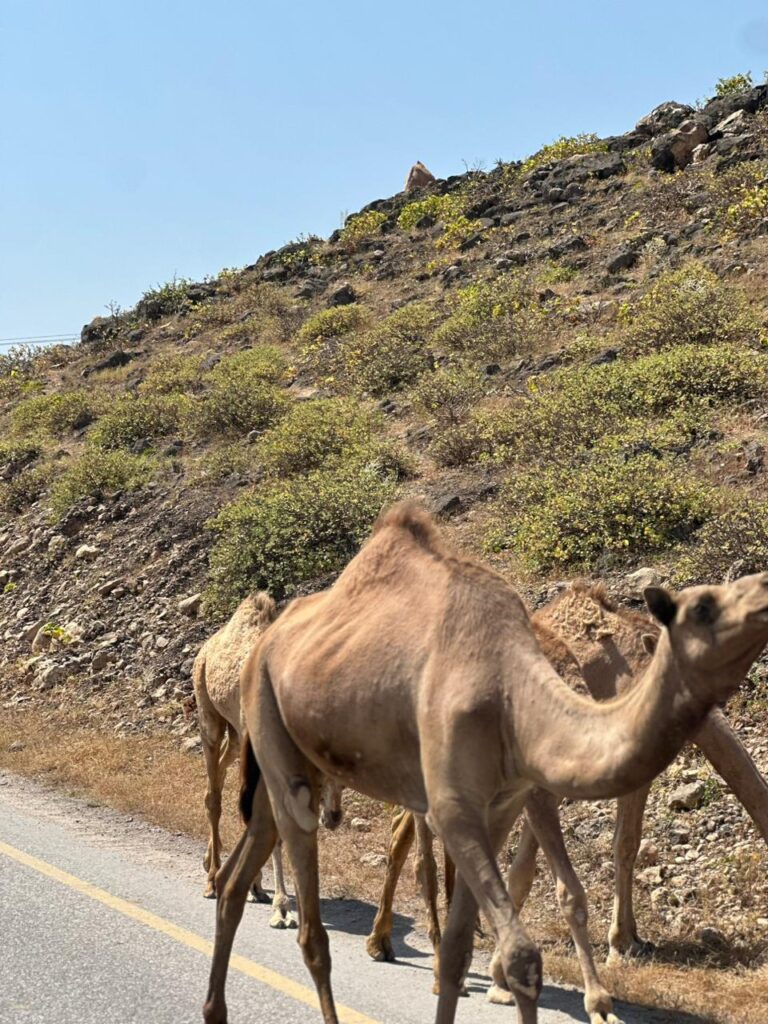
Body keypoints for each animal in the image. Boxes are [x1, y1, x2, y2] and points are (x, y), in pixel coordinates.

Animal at [193, 591, 343, 926]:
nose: (334, 817)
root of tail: (207, 646)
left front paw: (260, 888)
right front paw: (280, 906)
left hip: (236, 735)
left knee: (219, 775)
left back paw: (214, 862)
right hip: (208, 714)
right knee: (213, 792)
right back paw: (211, 880)